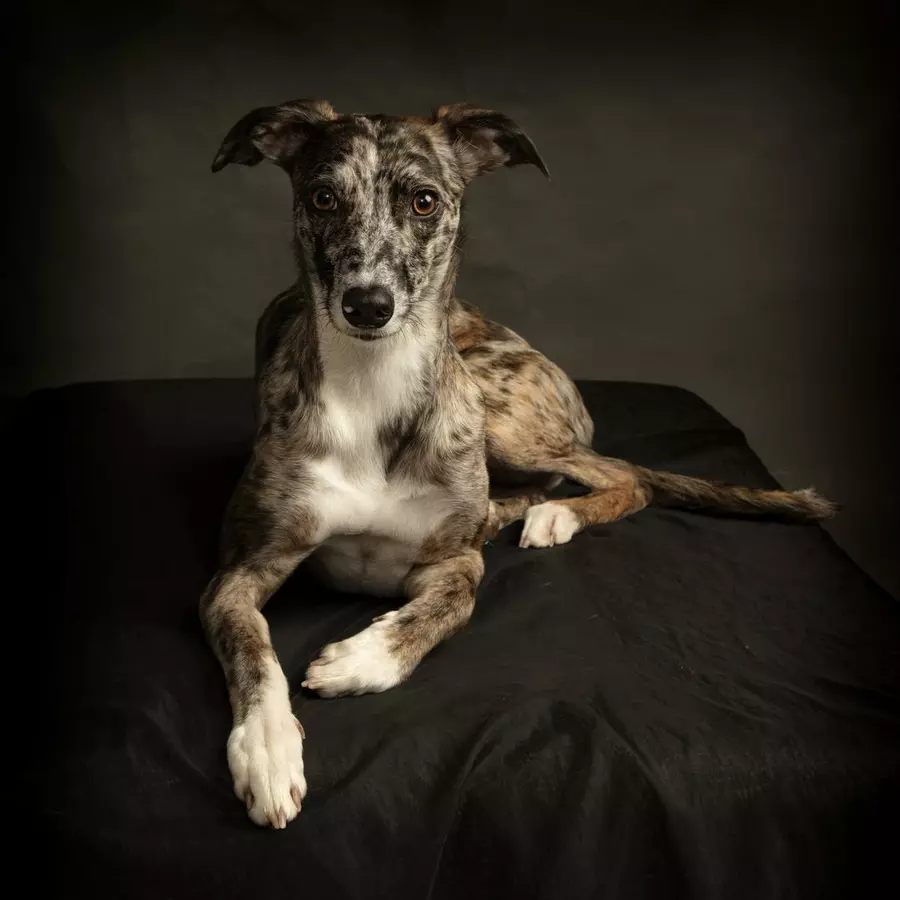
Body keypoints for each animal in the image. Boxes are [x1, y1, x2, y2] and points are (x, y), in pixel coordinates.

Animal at [200, 99, 836, 828]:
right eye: (322, 197)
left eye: (424, 200)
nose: (368, 305)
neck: (371, 387)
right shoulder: (239, 573)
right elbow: (254, 650)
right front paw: (268, 746)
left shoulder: (454, 562)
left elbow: (450, 607)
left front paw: (363, 656)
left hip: (498, 408)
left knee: (623, 476)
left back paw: (559, 517)